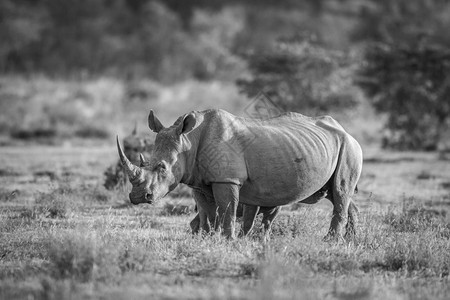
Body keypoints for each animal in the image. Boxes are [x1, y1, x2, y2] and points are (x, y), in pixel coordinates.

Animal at [116, 109, 362, 240]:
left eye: (163, 168)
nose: (137, 197)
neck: (189, 139)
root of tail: (346, 130)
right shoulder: (199, 182)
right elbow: (208, 211)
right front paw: (209, 237)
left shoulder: (227, 179)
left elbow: (227, 209)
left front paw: (227, 239)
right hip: (330, 146)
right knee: (338, 194)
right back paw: (351, 239)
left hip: (349, 146)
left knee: (340, 191)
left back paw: (330, 241)